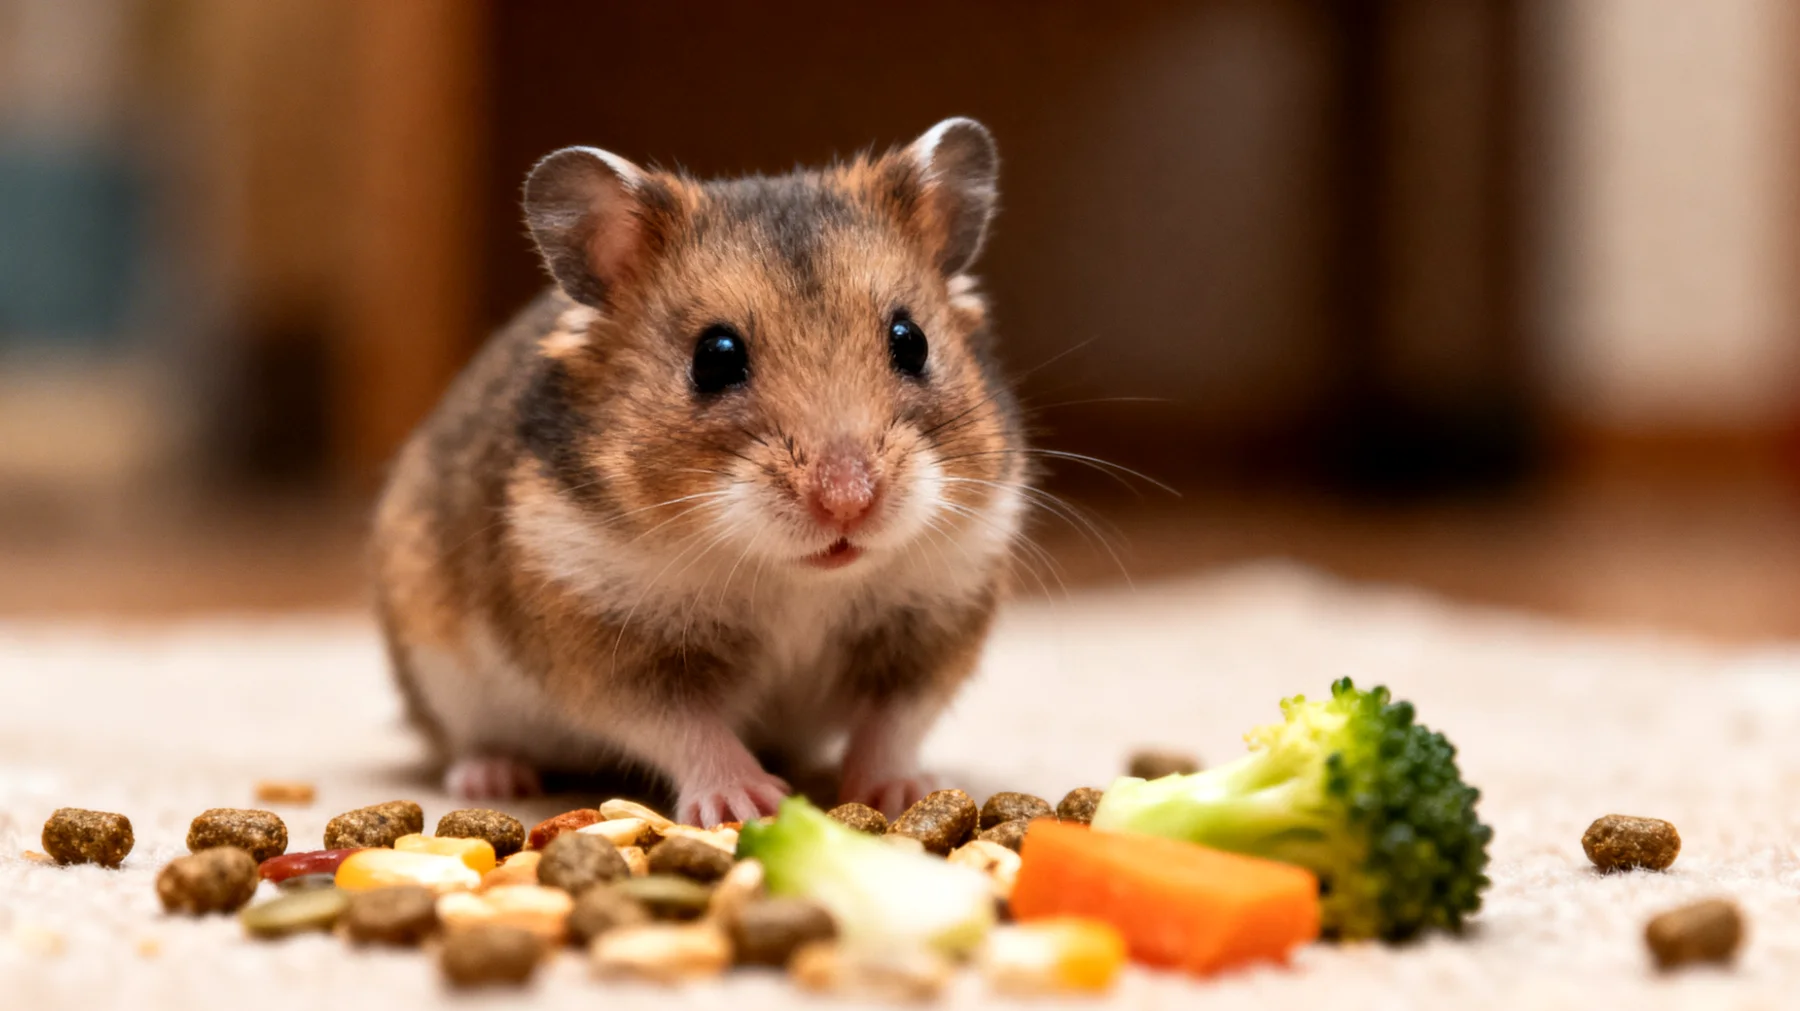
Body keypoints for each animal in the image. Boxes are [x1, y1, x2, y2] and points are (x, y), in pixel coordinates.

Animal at [371, 118, 1027, 827]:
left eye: (912, 341)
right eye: (714, 358)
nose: (848, 503)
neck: (796, 579)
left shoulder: (935, 617)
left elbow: (894, 724)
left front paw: (904, 793)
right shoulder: (608, 641)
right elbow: (687, 728)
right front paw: (747, 804)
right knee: (465, 741)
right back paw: (493, 778)